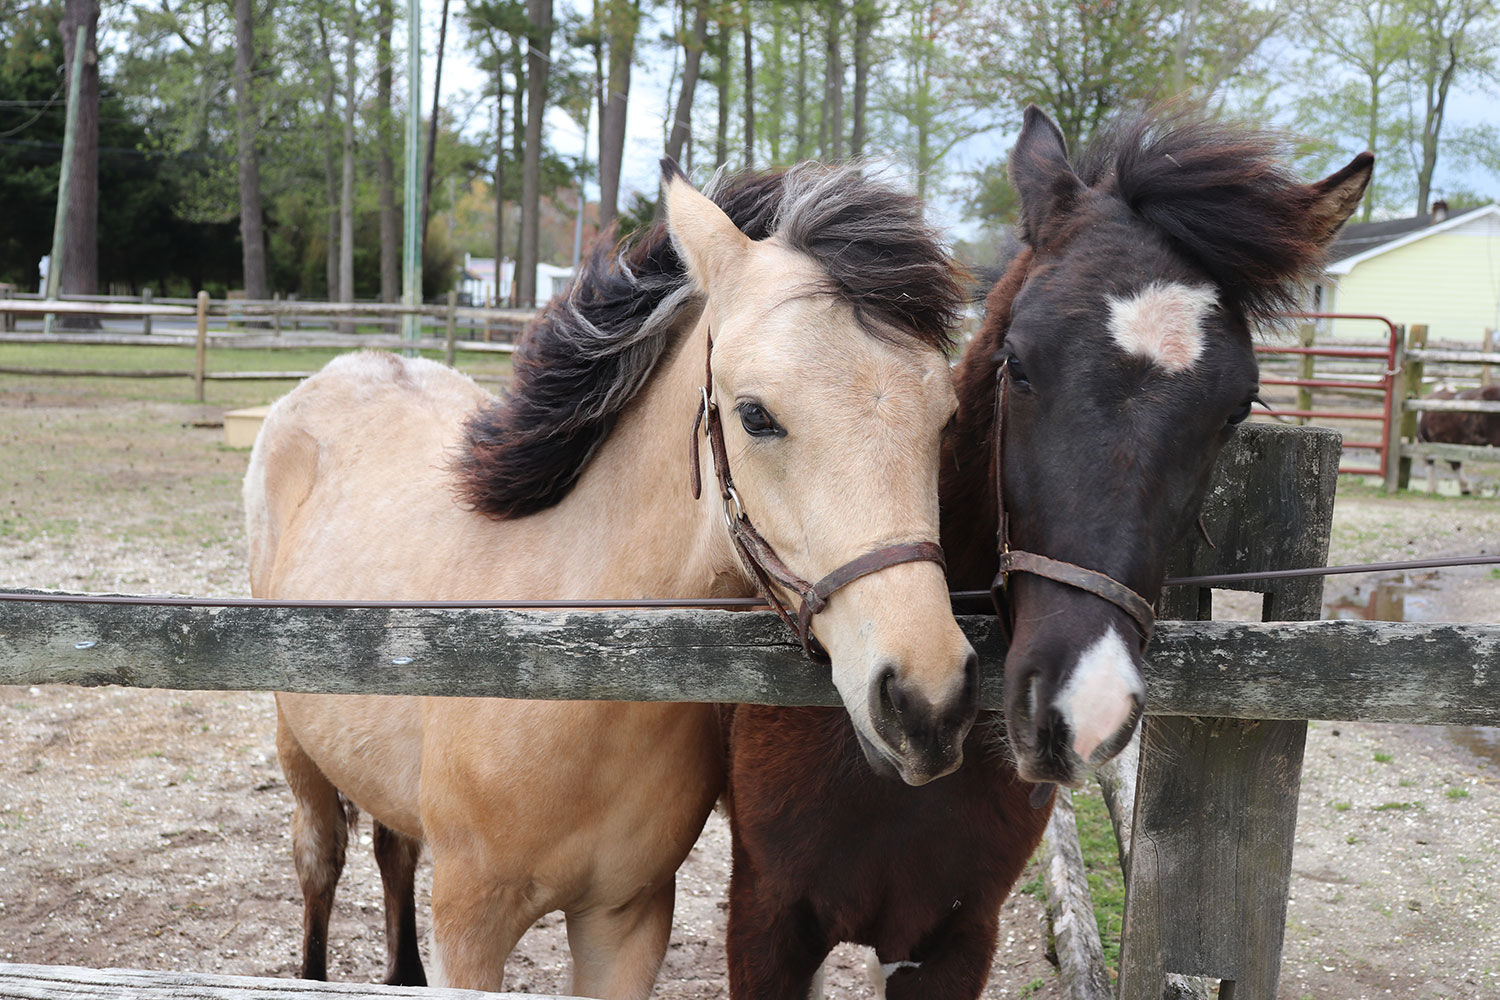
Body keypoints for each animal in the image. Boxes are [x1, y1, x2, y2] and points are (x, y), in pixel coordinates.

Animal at [241, 160, 978, 995]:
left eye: (946, 416)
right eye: (756, 415)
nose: (926, 699)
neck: (572, 667)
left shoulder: (626, 922)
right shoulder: (471, 927)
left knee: (393, 850)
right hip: (298, 746)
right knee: (320, 860)